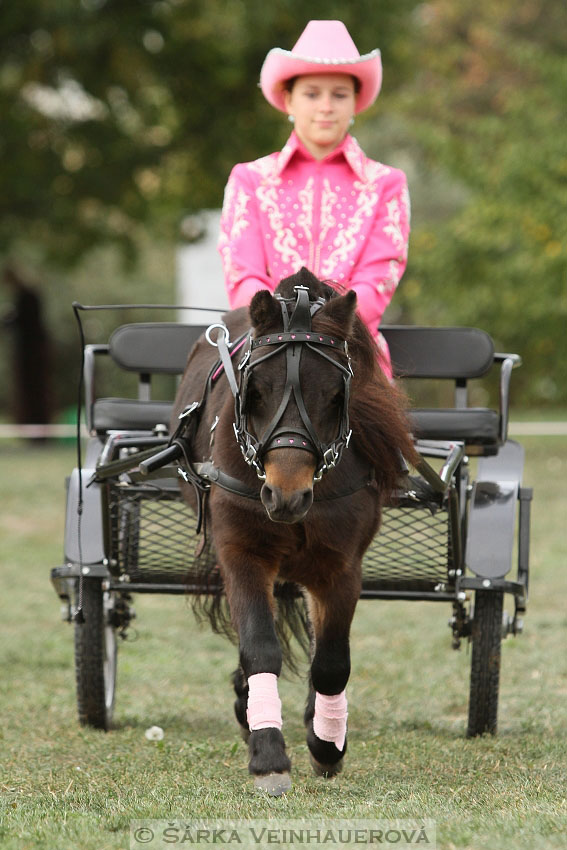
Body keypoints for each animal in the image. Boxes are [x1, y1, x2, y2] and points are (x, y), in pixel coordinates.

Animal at [171, 268, 414, 792]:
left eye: (336, 396)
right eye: (254, 391)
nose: (286, 495)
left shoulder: (341, 567)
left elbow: (332, 664)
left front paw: (326, 743)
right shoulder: (241, 552)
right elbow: (261, 648)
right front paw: (267, 753)